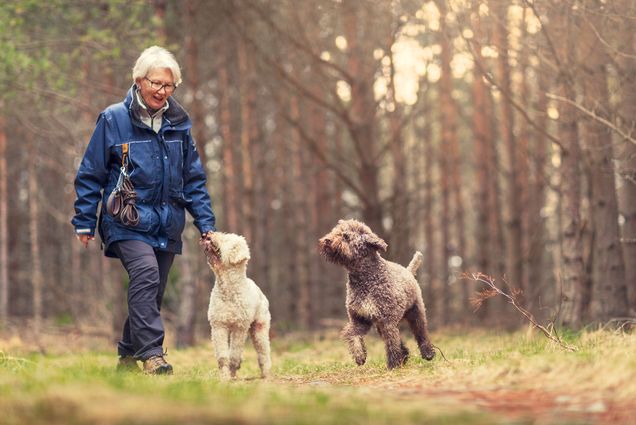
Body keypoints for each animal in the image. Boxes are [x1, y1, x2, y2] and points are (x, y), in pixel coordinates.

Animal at [201, 230, 270, 380]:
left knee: (263, 351)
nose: (208, 233)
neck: (228, 289)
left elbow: (234, 354)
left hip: (259, 328)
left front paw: (232, 371)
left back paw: (266, 374)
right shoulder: (219, 326)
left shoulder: (240, 327)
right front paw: (225, 376)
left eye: (226, 239)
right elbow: (223, 355)